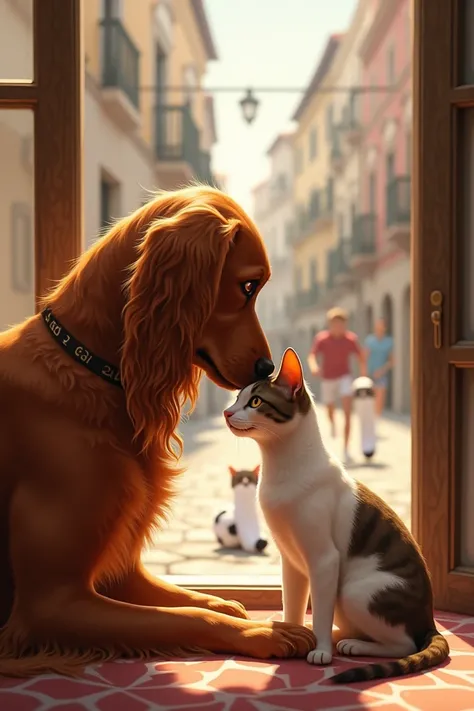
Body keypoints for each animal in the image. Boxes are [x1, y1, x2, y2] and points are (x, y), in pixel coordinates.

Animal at [0, 186, 314, 676]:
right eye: (248, 286)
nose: (267, 368)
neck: (85, 369)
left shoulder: (120, 573)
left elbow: (200, 602)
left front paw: (243, 610)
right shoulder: (50, 603)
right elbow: (191, 617)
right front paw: (266, 632)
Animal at [224, 350, 450, 684]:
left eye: (255, 402)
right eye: (237, 398)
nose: (227, 413)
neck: (280, 468)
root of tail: (430, 619)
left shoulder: (323, 559)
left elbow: (319, 609)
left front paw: (319, 651)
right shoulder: (290, 559)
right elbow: (292, 603)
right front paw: (292, 634)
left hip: (355, 591)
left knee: (405, 643)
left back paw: (350, 644)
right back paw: (338, 635)